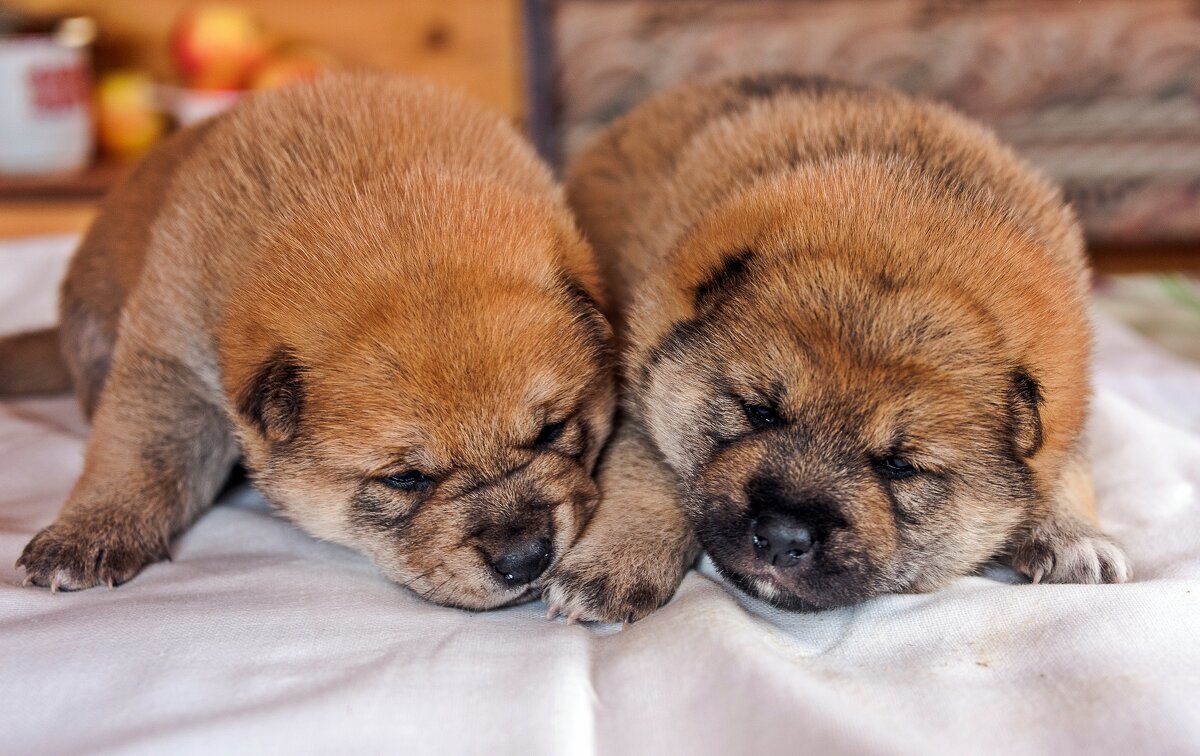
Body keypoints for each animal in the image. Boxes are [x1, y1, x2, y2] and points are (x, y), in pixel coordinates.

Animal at [2, 75, 619, 609]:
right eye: (405, 479)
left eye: (552, 431)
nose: (525, 558)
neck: (373, 190)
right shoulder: (172, 362)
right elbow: (138, 452)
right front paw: (87, 533)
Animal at [549, 74, 1128, 624]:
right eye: (759, 412)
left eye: (899, 466)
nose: (783, 536)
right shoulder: (638, 385)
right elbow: (646, 475)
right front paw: (613, 564)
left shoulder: (1068, 396)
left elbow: (1067, 461)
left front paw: (1073, 537)